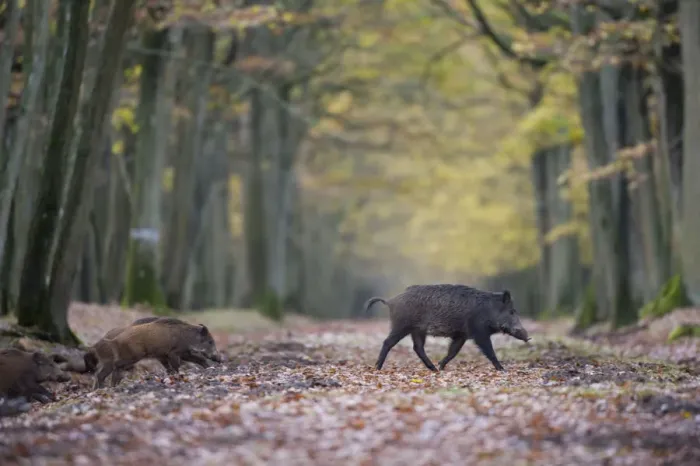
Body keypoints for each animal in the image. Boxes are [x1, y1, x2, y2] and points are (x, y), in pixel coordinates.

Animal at [92, 318, 221, 390]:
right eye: (210, 341)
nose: (220, 359)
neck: (187, 337)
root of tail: (115, 340)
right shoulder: (173, 352)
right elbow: (176, 366)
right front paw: (177, 376)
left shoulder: (182, 352)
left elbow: (198, 359)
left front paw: (209, 368)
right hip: (131, 356)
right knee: (114, 367)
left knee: (104, 373)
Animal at [365, 284, 530, 372]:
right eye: (511, 311)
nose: (528, 336)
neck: (489, 311)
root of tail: (390, 301)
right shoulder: (479, 333)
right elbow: (490, 351)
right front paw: (502, 369)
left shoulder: (461, 335)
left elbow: (453, 351)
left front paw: (442, 366)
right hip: (402, 325)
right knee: (388, 342)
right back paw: (377, 367)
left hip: (417, 330)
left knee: (417, 347)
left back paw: (434, 369)